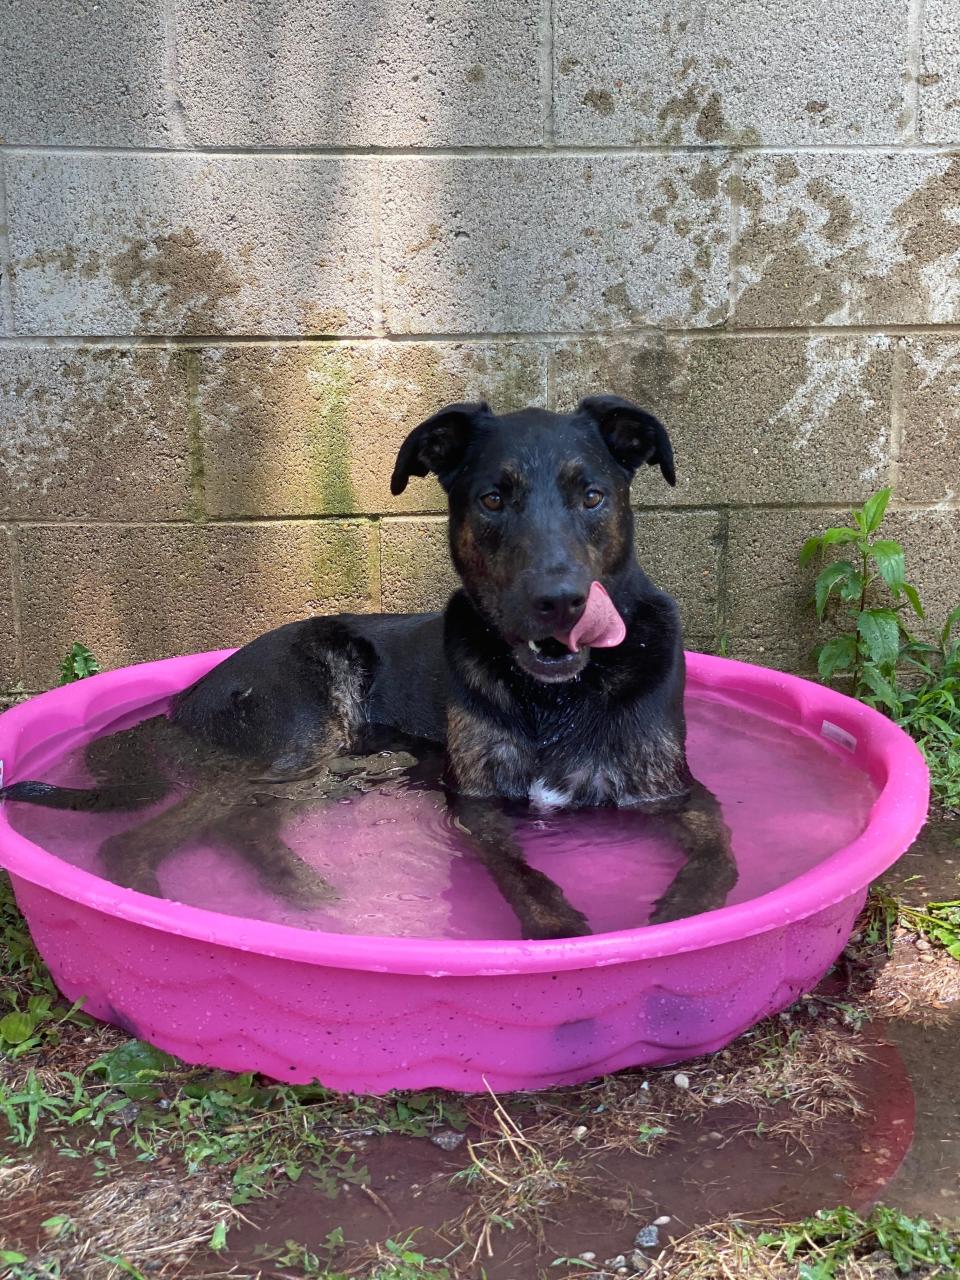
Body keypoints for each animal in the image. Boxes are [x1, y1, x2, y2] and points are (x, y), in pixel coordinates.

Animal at [1, 396, 737, 942]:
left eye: (591, 495)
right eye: (493, 500)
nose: (556, 602)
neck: (557, 696)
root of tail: (186, 698)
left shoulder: (674, 790)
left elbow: (720, 856)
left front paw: (684, 916)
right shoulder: (474, 802)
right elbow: (519, 875)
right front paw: (559, 933)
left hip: (332, 771)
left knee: (245, 825)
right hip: (292, 740)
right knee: (147, 841)